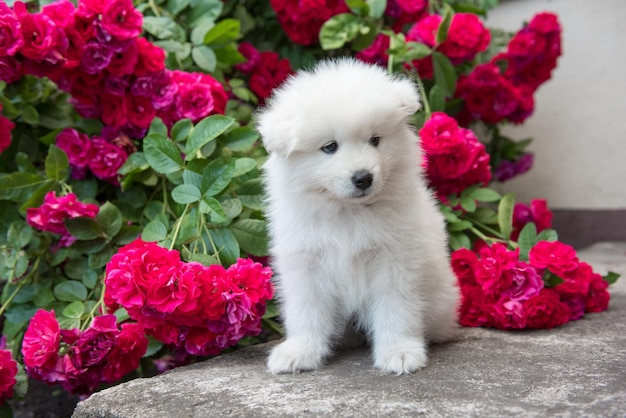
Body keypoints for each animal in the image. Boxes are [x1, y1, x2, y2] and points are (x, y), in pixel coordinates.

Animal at [255, 58, 458, 376]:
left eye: (375, 140)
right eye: (329, 147)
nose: (363, 178)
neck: (347, 212)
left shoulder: (395, 260)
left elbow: (396, 308)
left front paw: (400, 352)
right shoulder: (305, 263)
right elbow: (306, 310)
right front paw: (299, 351)